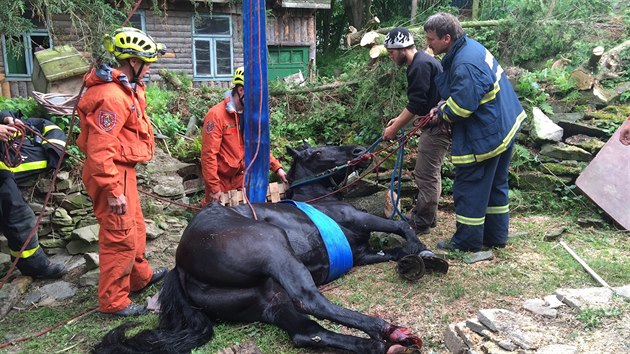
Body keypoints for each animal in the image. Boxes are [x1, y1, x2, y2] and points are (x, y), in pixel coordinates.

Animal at [94, 143, 450, 354]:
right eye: (319, 151)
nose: (360, 148)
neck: (319, 197)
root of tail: (181, 267)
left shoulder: (362, 253)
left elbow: (396, 251)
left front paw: (414, 260)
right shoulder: (359, 218)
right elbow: (401, 227)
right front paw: (425, 253)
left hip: (269, 300)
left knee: (306, 332)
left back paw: (380, 345)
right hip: (274, 246)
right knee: (310, 299)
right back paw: (389, 331)